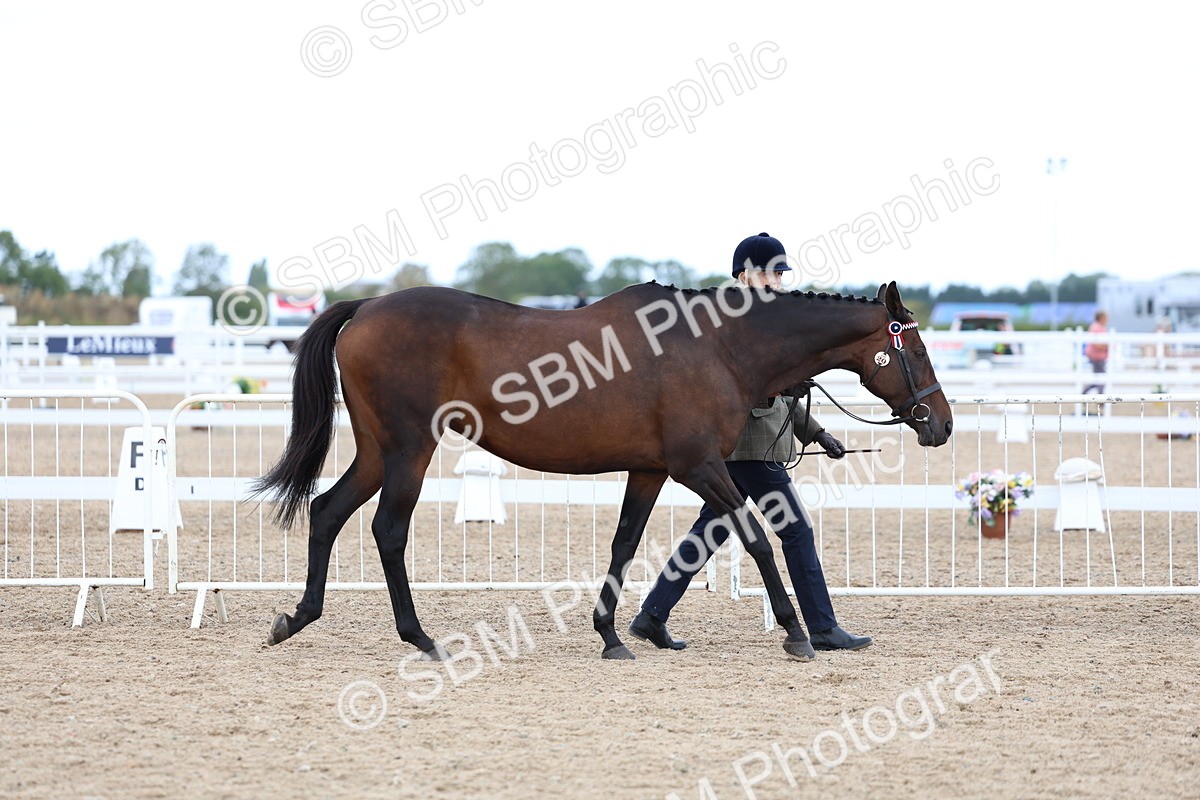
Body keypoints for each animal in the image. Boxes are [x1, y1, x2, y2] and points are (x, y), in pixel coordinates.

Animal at [254, 280, 952, 660]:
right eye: (916, 349)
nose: (940, 424)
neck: (717, 347)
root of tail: (367, 307)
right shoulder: (700, 465)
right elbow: (756, 537)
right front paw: (796, 633)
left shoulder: (651, 471)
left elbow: (625, 544)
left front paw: (614, 634)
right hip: (408, 449)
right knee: (388, 531)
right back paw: (420, 638)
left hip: (378, 450)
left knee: (328, 511)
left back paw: (296, 618)